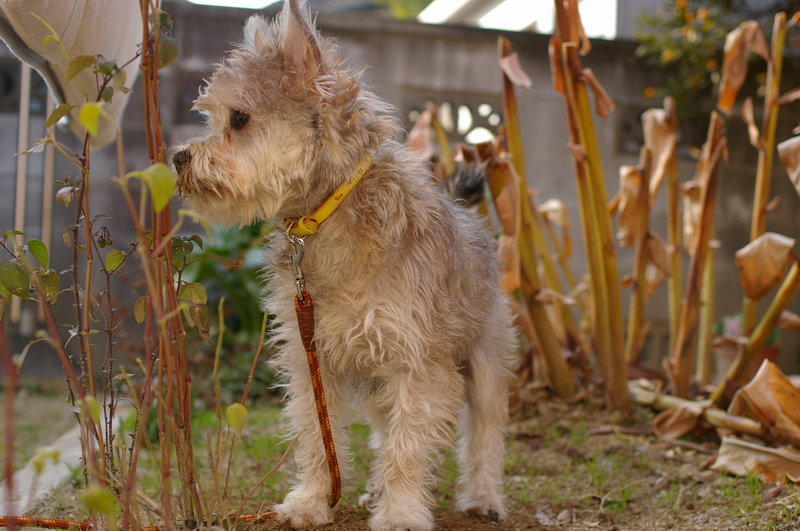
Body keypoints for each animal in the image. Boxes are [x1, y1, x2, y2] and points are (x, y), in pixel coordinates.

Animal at [172, 1, 515, 529]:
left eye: (240, 118)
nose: (178, 158)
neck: (326, 218)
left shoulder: (415, 364)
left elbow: (407, 449)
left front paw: (400, 513)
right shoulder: (310, 357)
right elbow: (320, 436)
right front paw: (313, 501)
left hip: (486, 367)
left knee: (484, 436)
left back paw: (483, 496)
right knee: (383, 430)